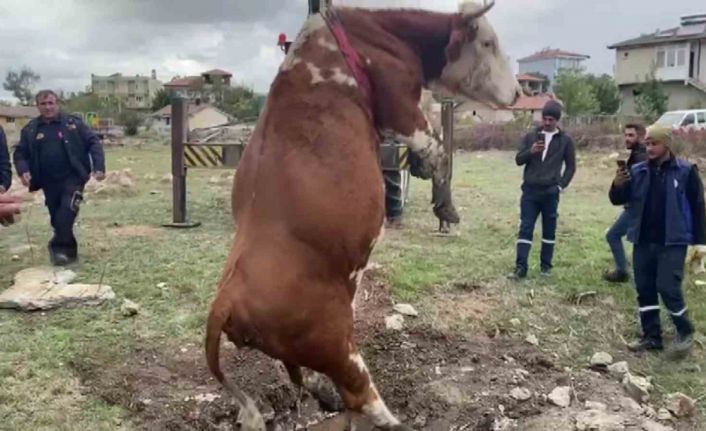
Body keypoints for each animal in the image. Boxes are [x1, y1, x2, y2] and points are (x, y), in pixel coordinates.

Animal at [206, 1, 520, 430]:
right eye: (488, 42)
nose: (519, 93)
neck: (373, 34)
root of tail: (225, 300)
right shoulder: (401, 107)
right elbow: (439, 149)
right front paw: (446, 207)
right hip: (334, 342)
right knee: (360, 393)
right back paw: (391, 418)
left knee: (303, 377)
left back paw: (324, 394)